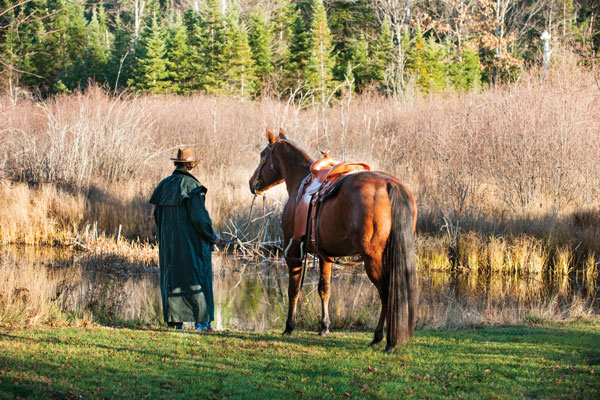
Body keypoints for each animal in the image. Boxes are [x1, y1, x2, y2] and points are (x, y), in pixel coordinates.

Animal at [250, 130, 418, 352]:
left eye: (263, 156)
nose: (253, 183)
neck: (300, 180)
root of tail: (391, 184)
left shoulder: (293, 253)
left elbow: (293, 290)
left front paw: (289, 326)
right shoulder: (325, 255)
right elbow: (324, 289)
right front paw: (324, 326)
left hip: (372, 258)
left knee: (386, 292)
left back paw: (384, 339)